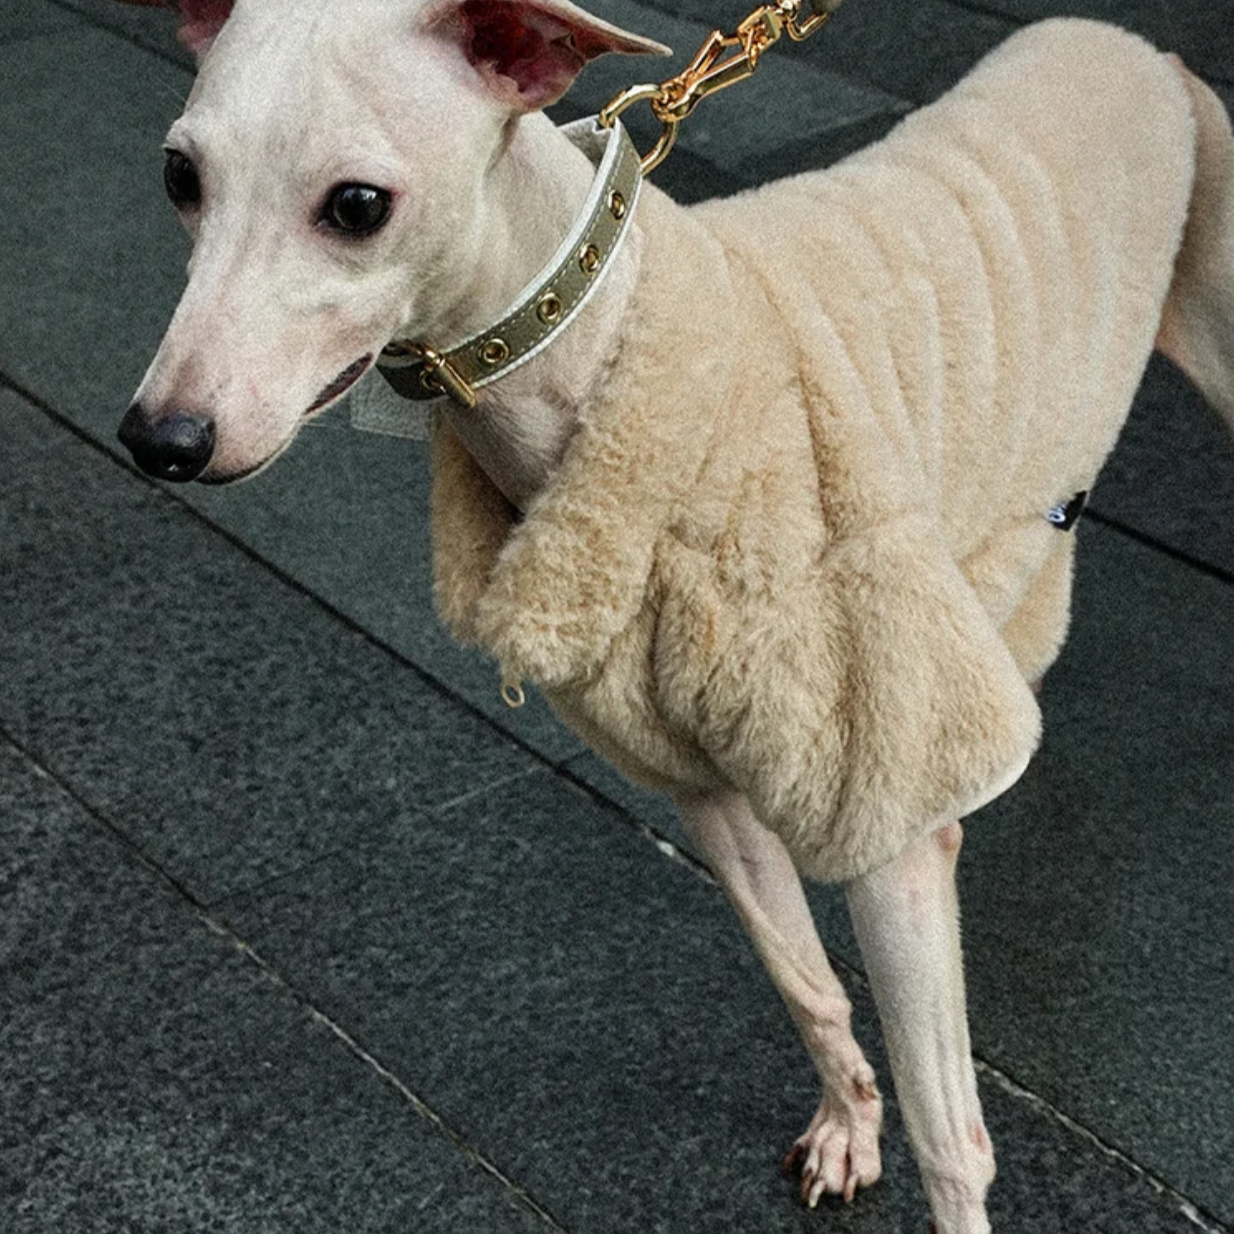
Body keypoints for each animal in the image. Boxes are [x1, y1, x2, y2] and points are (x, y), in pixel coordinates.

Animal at [113, 4, 1234, 1229]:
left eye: (357, 204)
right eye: (180, 175)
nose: (160, 440)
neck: (594, 353)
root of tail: (1127, 44)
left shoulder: (884, 810)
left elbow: (952, 1138)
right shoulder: (699, 783)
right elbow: (806, 985)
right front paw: (847, 1127)